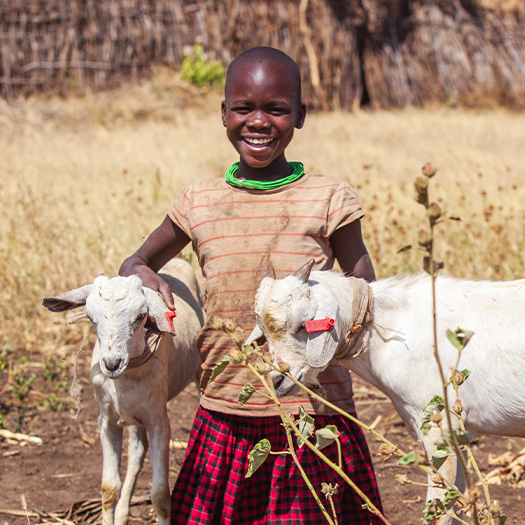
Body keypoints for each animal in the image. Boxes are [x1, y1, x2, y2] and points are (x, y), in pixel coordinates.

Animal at [43, 258, 204, 524]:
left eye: (141, 316)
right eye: (90, 317)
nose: (112, 363)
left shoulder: (159, 421)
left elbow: (160, 496)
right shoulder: (107, 420)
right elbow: (108, 489)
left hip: (198, 374)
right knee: (137, 451)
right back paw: (121, 514)